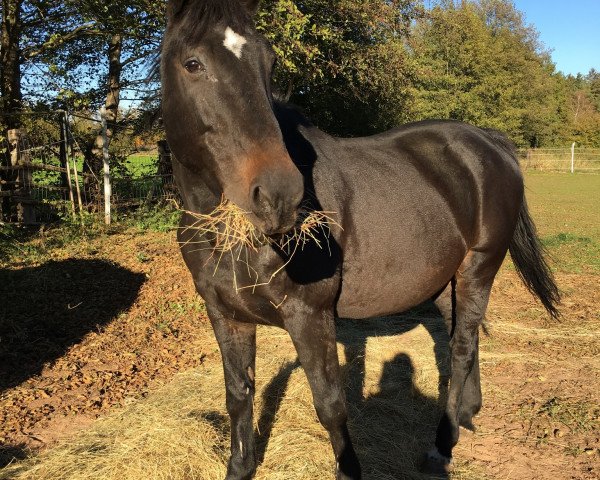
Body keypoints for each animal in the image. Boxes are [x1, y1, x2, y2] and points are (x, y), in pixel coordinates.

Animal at [159, 1, 556, 478]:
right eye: (192, 63)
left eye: (268, 63)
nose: (279, 195)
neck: (229, 236)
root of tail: (490, 142)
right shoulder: (225, 316)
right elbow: (238, 396)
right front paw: (240, 467)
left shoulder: (310, 317)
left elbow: (331, 406)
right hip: (446, 281)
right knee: (464, 336)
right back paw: (464, 415)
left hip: (480, 266)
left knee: (460, 349)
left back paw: (442, 445)